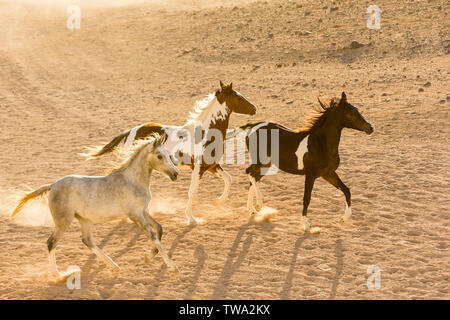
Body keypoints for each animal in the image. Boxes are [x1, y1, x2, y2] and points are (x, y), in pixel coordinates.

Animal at [85, 81, 256, 224]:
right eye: (238, 97)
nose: (254, 109)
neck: (206, 132)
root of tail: (132, 130)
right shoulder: (199, 169)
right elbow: (192, 192)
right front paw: (191, 218)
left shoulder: (212, 166)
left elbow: (228, 179)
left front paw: (218, 201)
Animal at [230, 92, 374, 232]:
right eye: (350, 113)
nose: (371, 127)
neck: (320, 144)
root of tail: (253, 126)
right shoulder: (310, 175)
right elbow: (307, 198)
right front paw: (307, 225)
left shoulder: (328, 174)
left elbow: (346, 190)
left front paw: (343, 220)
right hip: (261, 161)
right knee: (249, 172)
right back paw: (259, 205)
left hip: (266, 165)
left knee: (253, 178)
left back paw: (252, 210)